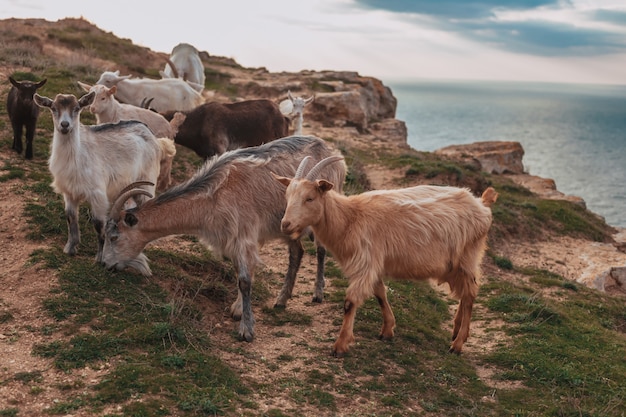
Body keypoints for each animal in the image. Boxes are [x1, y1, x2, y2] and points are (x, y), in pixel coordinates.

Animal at [33, 91, 166, 262]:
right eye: (53, 108)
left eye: (77, 108)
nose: (65, 125)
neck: (77, 154)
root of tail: (147, 130)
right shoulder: (69, 192)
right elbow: (70, 217)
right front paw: (70, 248)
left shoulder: (97, 194)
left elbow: (97, 223)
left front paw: (100, 257)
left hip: (146, 182)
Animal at [274, 154, 498, 356]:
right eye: (287, 196)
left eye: (309, 198)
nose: (285, 225)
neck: (350, 218)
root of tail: (482, 205)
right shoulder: (374, 263)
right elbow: (380, 293)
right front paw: (387, 330)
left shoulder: (365, 262)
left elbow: (350, 302)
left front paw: (340, 345)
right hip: (455, 264)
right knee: (465, 293)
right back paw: (456, 330)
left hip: (468, 256)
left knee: (470, 294)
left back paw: (458, 344)